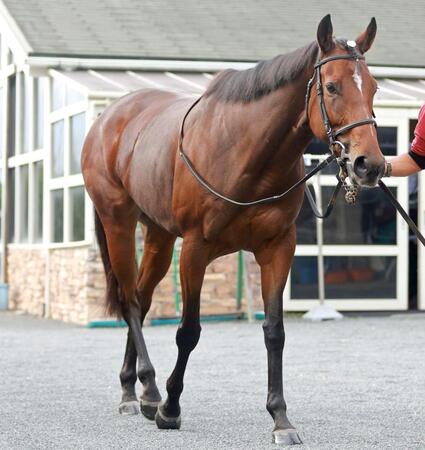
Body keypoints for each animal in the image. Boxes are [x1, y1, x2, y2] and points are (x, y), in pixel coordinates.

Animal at [81, 14, 382, 446]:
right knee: (131, 302)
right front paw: (171, 409)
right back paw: (149, 391)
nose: (368, 164)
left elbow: (275, 332)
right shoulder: (195, 250)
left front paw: (280, 418)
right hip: (118, 224)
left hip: (158, 236)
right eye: (331, 86)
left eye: (373, 87)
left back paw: (136, 388)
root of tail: (108, 119)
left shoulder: (277, 249)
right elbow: (189, 331)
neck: (244, 152)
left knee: (142, 295)